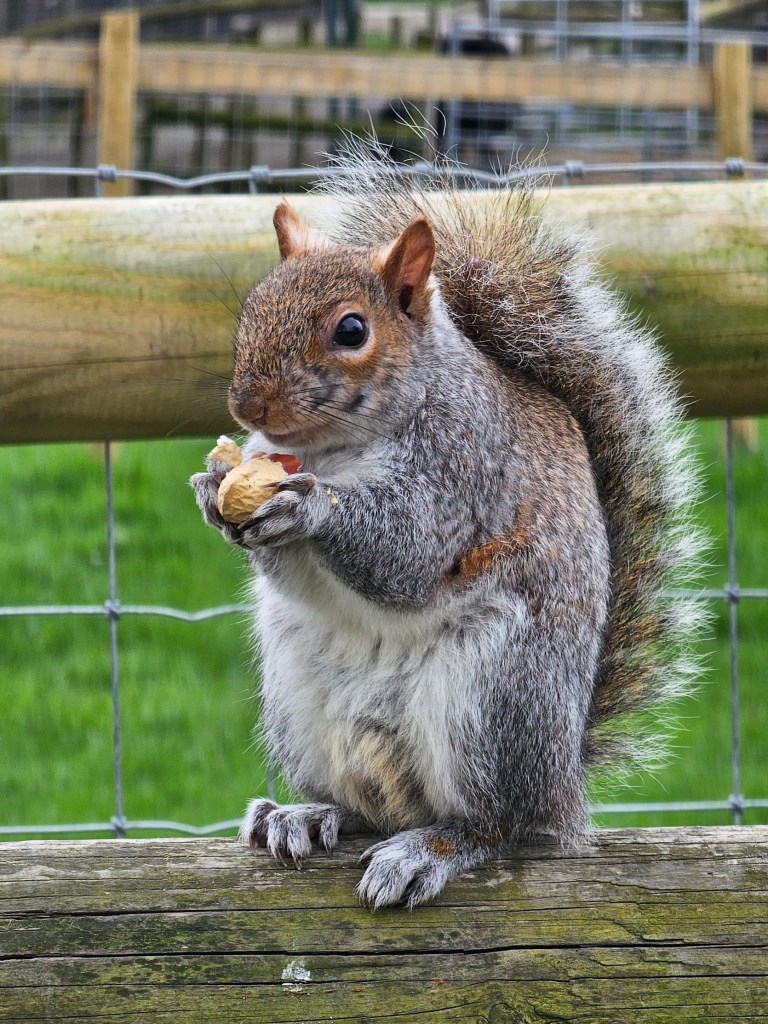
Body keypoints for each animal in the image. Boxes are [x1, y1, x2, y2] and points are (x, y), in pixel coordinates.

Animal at [191, 141, 705, 910]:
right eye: (252, 306)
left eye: (351, 330)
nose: (248, 404)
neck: (333, 450)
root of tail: (564, 784)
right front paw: (212, 489)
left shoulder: (461, 465)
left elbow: (405, 554)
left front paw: (304, 507)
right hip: (296, 696)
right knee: (366, 806)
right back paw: (305, 814)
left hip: (493, 699)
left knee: (497, 825)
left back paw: (429, 850)